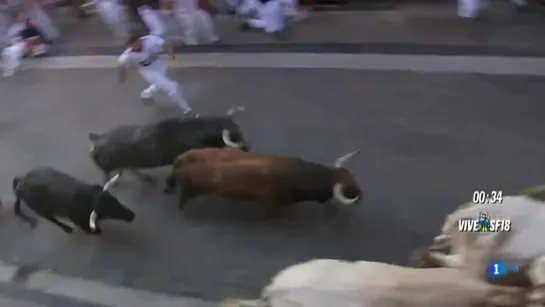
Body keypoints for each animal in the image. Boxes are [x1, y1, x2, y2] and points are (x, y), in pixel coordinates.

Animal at [87, 106, 249, 184]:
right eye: (235, 135)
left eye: (238, 127)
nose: (248, 147)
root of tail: (96, 138)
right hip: (109, 166)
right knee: (108, 173)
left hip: (128, 162)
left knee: (131, 168)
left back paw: (147, 178)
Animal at [164, 148, 364, 215]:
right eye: (349, 188)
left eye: (353, 177)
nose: (361, 196)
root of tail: (180, 160)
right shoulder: (273, 203)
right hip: (189, 189)